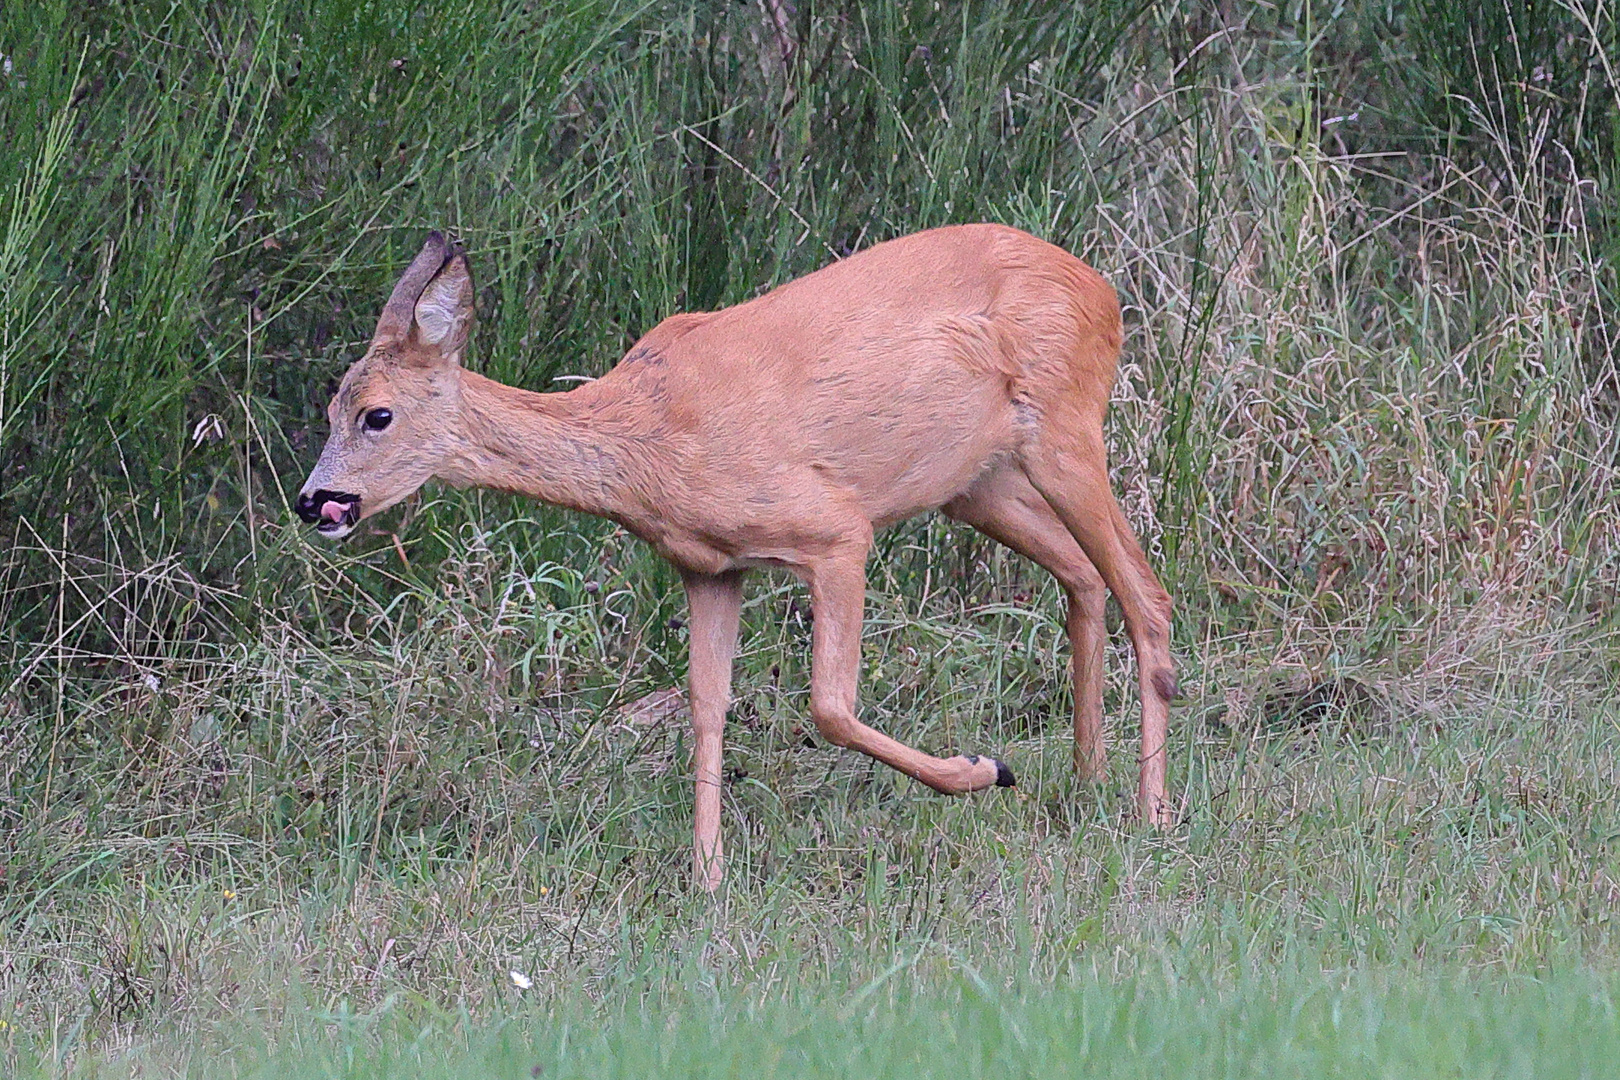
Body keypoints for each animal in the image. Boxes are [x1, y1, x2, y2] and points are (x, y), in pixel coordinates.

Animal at [294, 223, 1179, 893]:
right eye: (332, 404)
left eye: (377, 415)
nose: (314, 501)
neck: (649, 439)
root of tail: (1103, 291)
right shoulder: (711, 567)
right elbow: (707, 707)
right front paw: (709, 876)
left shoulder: (834, 530)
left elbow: (829, 706)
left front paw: (983, 769)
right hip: (977, 483)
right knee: (1085, 578)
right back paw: (1087, 778)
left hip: (1066, 427)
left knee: (1147, 594)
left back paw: (1150, 809)